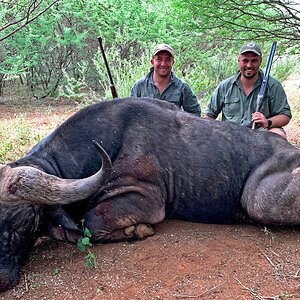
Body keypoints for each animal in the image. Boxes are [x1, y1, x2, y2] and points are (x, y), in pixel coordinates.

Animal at [0, 98, 300, 290]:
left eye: (21, 225)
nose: (2, 279)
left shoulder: (146, 200)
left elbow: (91, 223)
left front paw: (138, 230)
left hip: (258, 202)